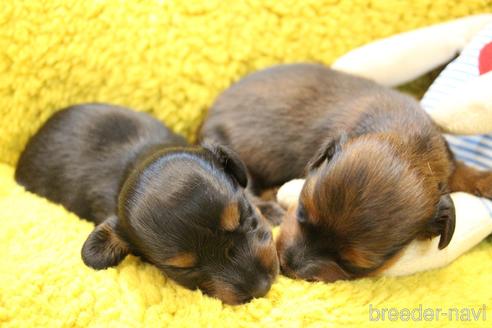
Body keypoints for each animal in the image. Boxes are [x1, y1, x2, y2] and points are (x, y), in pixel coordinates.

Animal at [198, 63, 492, 282]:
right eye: (302, 212)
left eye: (353, 264)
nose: (289, 266)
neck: (408, 140)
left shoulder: (445, 160)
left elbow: (462, 172)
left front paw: (485, 179)